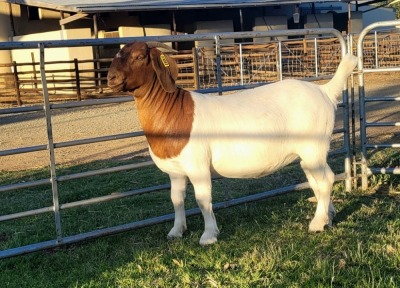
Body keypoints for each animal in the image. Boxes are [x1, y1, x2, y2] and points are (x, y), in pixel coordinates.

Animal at [108, 41, 358, 245]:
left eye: (140, 56)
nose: (111, 78)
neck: (174, 111)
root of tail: (325, 91)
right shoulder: (176, 171)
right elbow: (176, 200)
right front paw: (176, 231)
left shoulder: (198, 166)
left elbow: (203, 199)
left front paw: (209, 235)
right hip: (310, 153)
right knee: (317, 179)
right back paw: (328, 216)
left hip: (313, 146)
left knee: (325, 179)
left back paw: (317, 223)